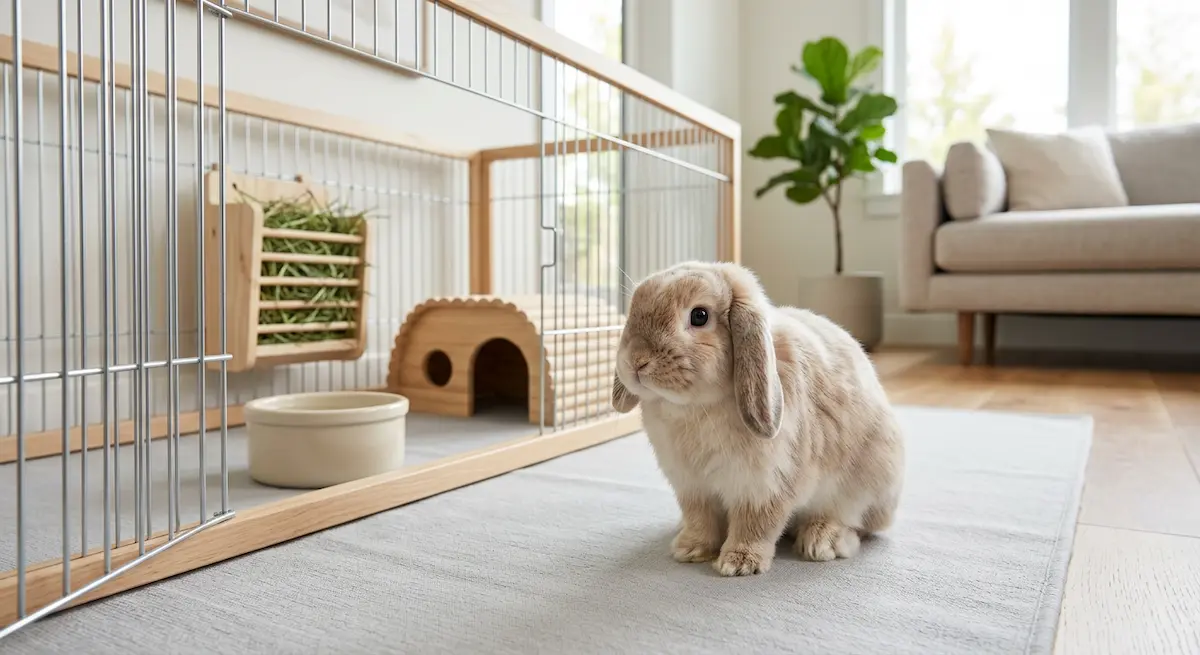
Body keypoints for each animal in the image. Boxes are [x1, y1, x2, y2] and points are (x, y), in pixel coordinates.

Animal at [610, 261, 904, 577]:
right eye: (634, 307)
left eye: (699, 316)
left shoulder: (765, 485)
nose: (636, 361)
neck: (697, 407)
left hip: (865, 485)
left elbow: (757, 524)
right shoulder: (693, 488)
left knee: (856, 523)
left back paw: (822, 540)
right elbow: (700, 519)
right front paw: (690, 549)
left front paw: (738, 563)